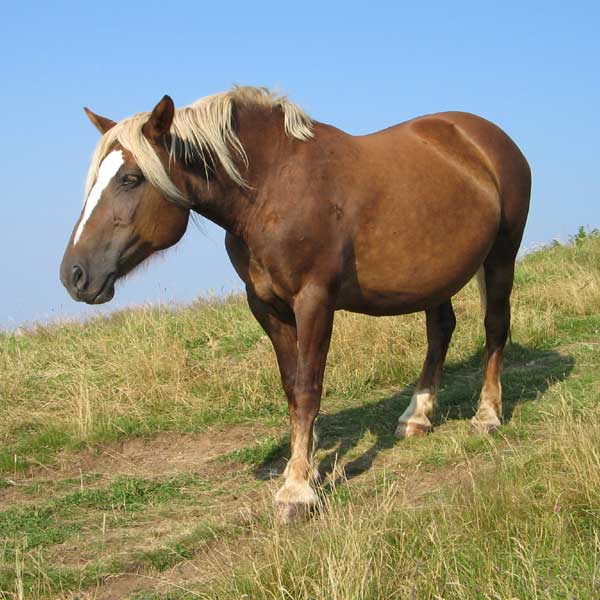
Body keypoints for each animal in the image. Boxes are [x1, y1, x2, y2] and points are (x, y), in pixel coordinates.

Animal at [59, 86, 528, 524]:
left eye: (131, 179)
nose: (74, 275)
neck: (273, 188)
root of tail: (484, 138)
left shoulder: (314, 300)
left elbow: (307, 388)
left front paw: (297, 491)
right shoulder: (267, 307)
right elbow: (291, 386)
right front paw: (305, 467)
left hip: (501, 255)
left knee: (494, 327)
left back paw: (487, 416)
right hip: (434, 276)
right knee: (440, 330)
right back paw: (416, 416)